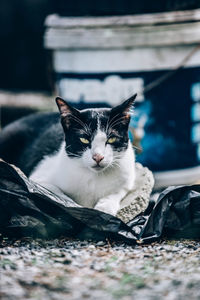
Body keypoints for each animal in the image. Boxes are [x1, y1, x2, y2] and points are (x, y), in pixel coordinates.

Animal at [0, 95, 137, 214]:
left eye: (112, 139)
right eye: (84, 139)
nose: (98, 157)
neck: (94, 177)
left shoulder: (127, 178)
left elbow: (116, 192)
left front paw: (104, 209)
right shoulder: (38, 178)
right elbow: (55, 193)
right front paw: (74, 207)